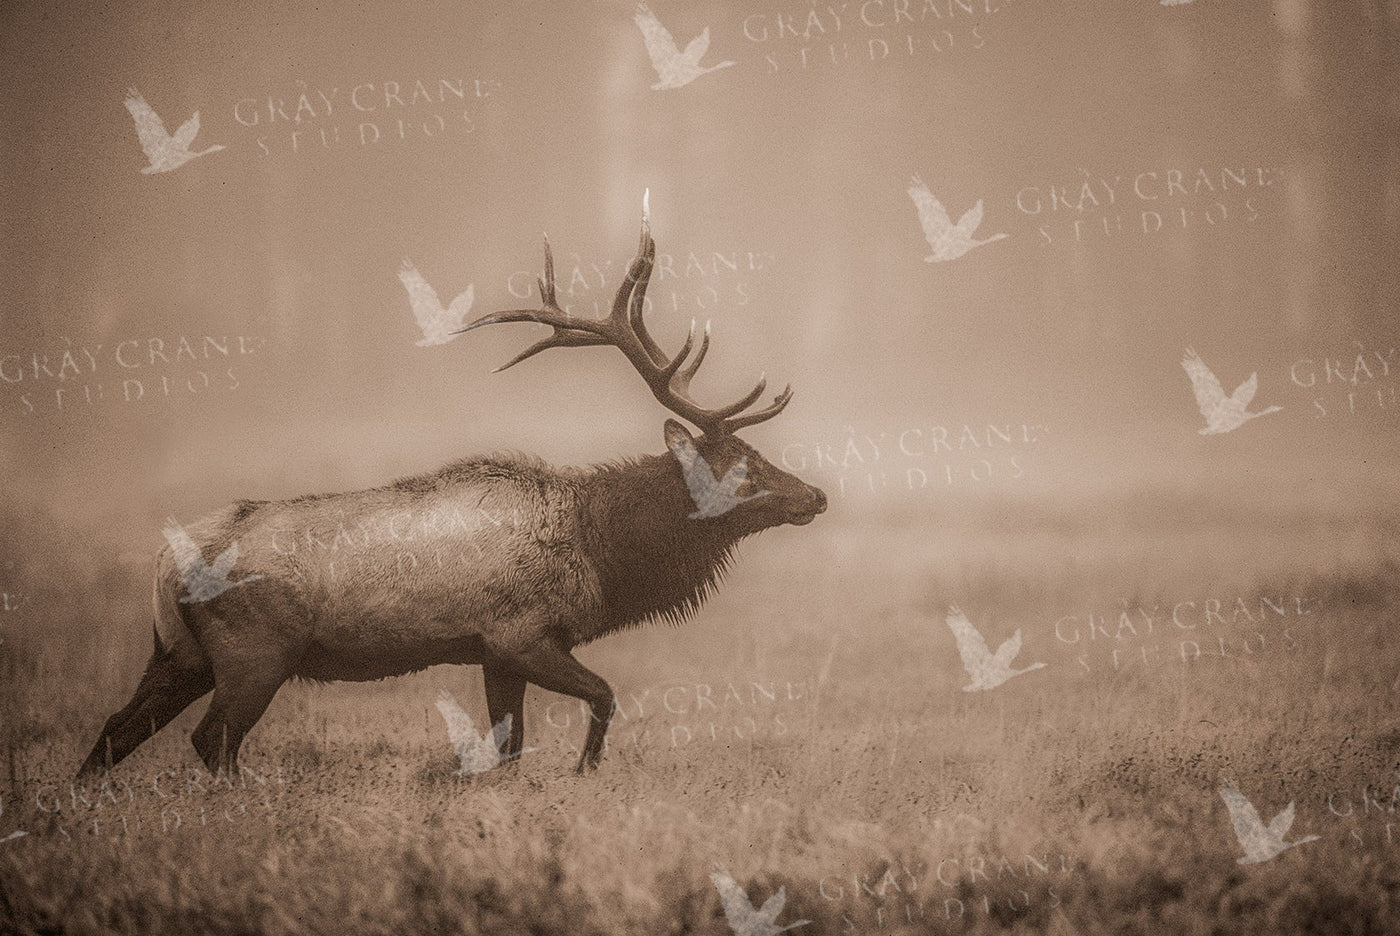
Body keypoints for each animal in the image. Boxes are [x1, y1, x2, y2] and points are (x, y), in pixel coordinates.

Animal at [77, 198, 826, 779]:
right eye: (742, 464)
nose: (815, 497)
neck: (600, 552)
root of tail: (164, 560)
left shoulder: (496, 652)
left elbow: (509, 749)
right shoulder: (520, 634)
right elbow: (604, 697)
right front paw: (584, 770)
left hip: (178, 653)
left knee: (115, 730)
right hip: (253, 653)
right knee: (212, 740)